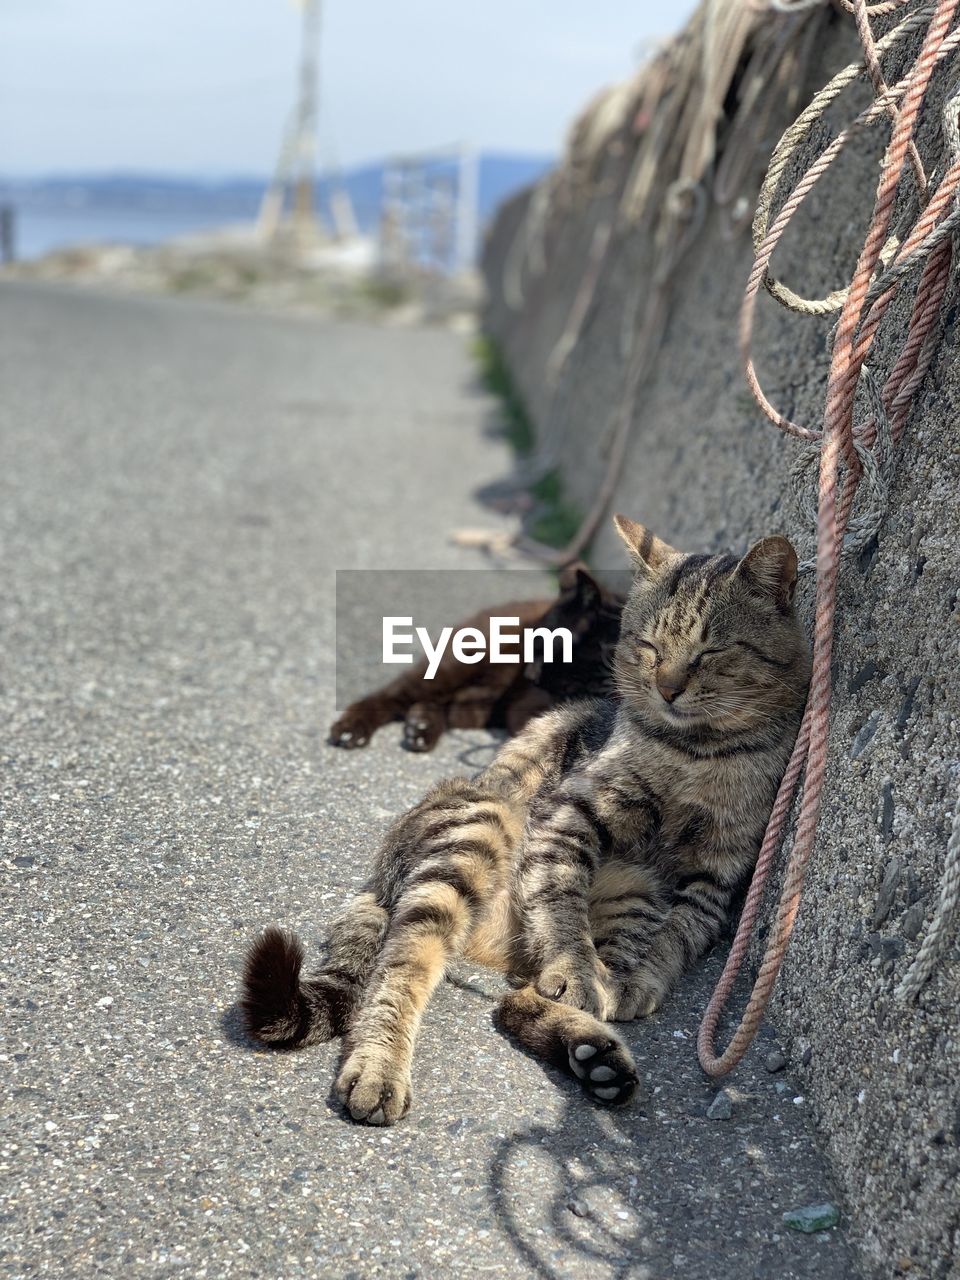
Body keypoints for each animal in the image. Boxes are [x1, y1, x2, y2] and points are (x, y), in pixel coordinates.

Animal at [327, 568, 627, 752]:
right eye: (534, 644)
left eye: (546, 644)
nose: (529, 675)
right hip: (458, 667)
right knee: (392, 695)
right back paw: (353, 730)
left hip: (479, 706)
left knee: (444, 704)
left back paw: (420, 727)